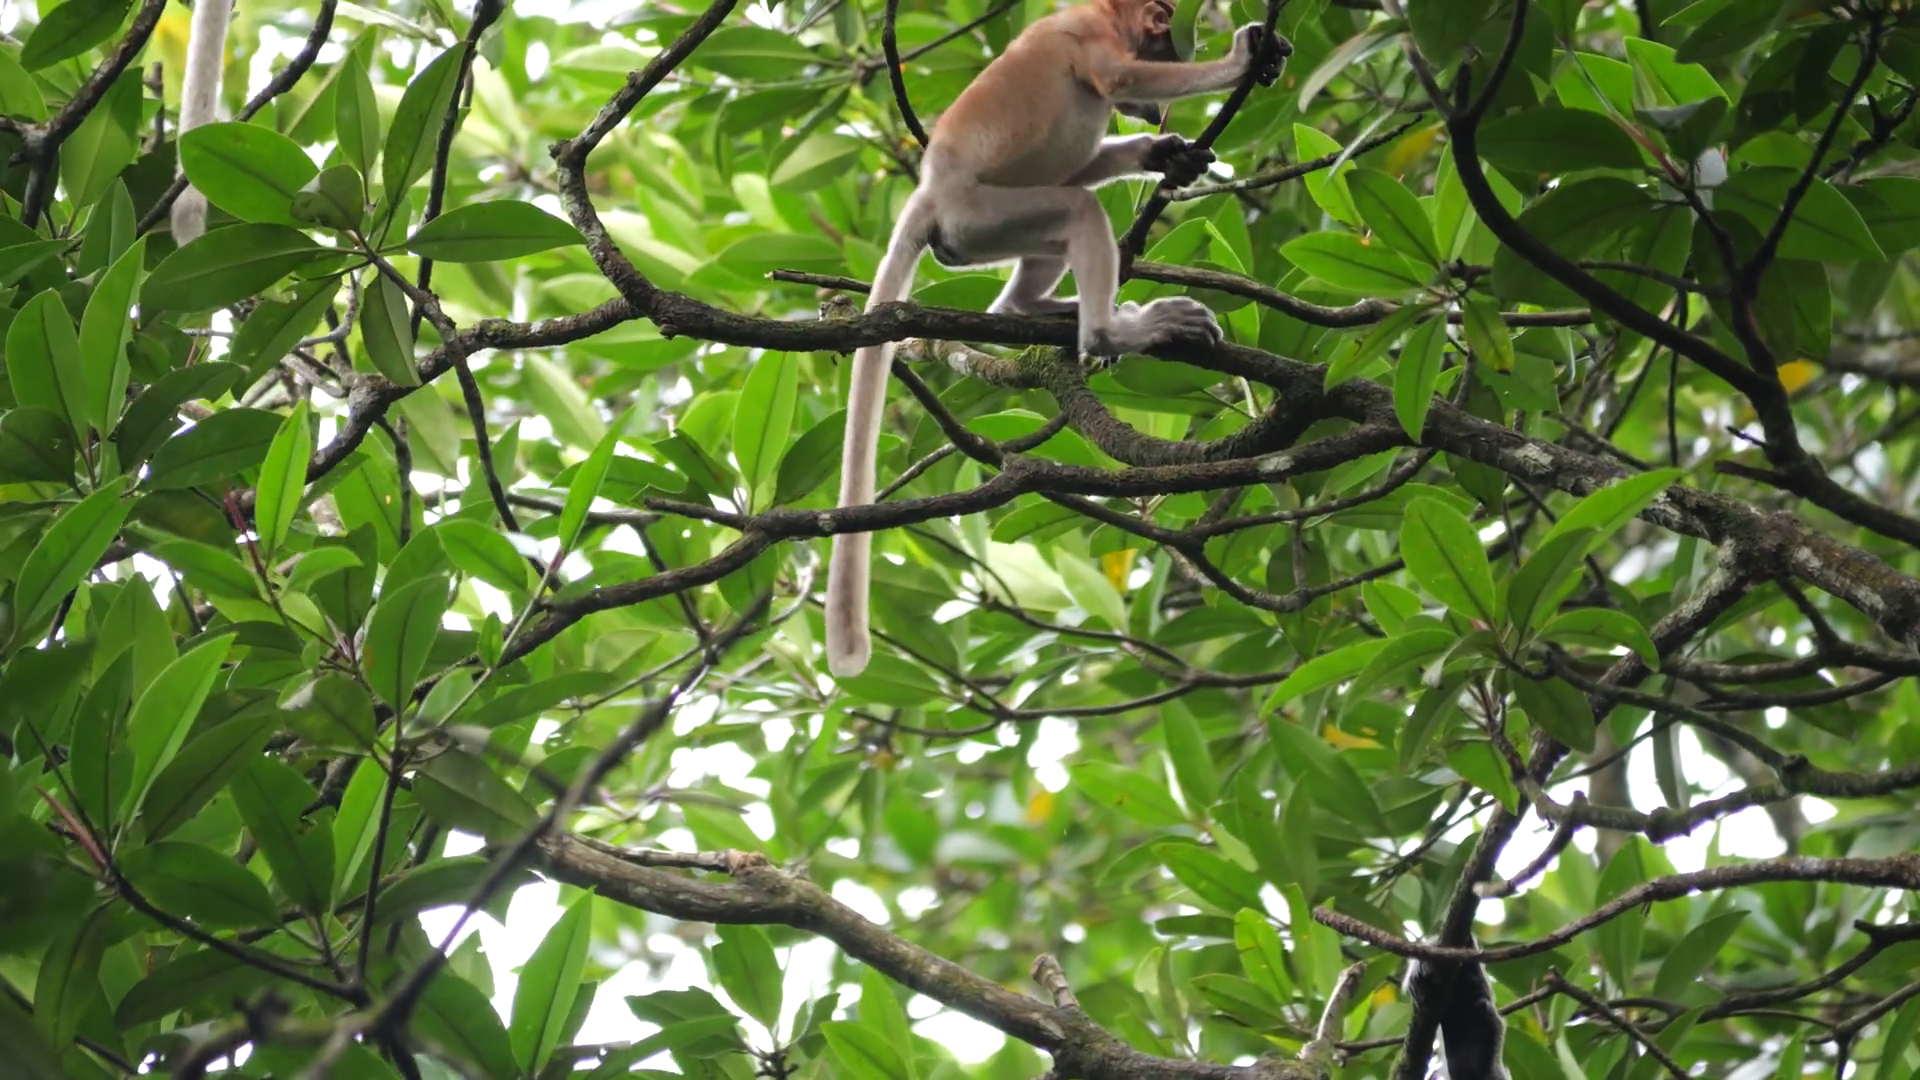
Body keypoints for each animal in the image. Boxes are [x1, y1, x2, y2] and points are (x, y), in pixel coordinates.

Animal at [823, 0, 1288, 678]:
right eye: (1167, 38)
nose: (1156, 110)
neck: (1098, 14)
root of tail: (931, 194)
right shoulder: (1086, 38)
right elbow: (1117, 80)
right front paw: (1246, 55)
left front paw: (1164, 154)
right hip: (981, 217)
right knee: (1076, 207)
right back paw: (1111, 328)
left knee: (1067, 205)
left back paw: (1044, 311)